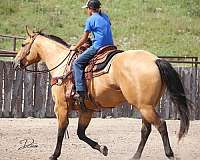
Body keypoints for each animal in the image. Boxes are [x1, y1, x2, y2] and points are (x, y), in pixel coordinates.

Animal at [12, 26, 192, 159]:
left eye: (23, 44)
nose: (15, 63)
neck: (62, 65)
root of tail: (155, 60)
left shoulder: (61, 107)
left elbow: (61, 130)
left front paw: (54, 155)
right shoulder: (86, 110)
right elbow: (81, 133)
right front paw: (102, 148)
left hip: (145, 107)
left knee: (161, 125)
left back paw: (169, 154)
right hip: (146, 106)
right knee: (146, 130)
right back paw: (135, 156)